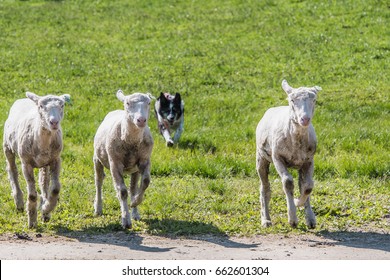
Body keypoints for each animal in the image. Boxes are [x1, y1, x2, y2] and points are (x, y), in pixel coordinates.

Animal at [3, 93, 71, 229]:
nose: (54, 122)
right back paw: (19, 202)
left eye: (62, 105)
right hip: (8, 147)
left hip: (44, 163)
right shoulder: (26, 163)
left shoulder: (56, 160)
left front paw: (46, 208)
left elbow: (55, 189)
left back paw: (45, 208)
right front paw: (32, 221)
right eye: (41, 106)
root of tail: (25, 99)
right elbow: (32, 195)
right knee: (12, 171)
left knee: (44, 181)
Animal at [93, 89, 153, 230]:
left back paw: (135, 212)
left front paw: (135, 202)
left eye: (148, 103)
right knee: (99, 181)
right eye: (128, 103)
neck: (132, 142)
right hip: (97, 159)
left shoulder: (145, 160)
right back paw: (98, 208)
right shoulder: (115, 163)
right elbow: (122, 192)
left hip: (134, 169)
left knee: (133, 187)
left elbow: (145, 182)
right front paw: (126, 220)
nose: (141, 120)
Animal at [254, 79, 322, 228]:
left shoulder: (309, 160)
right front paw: (292, 218)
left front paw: (302, 207)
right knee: (265, 188)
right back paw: (266, 219)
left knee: (303, 184)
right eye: (292, 100)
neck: (296, 139)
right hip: (261, 157)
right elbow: (288, 182)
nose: (305, 119)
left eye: (314, 100)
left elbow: (307, 187)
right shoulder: (278, 157)